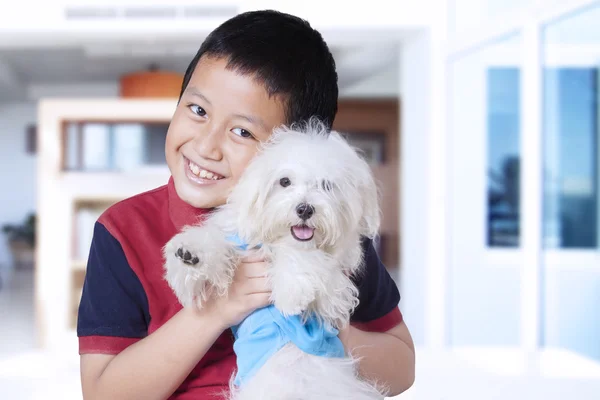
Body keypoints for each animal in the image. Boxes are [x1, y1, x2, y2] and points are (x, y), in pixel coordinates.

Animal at [162, 119, 386, 400]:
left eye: (327, 185)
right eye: (285, 181)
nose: (305, 209)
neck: (275, 241)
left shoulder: (334, 294)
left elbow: (302, 259)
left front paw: (291, 294)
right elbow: (217, 247)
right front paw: (190, 254)